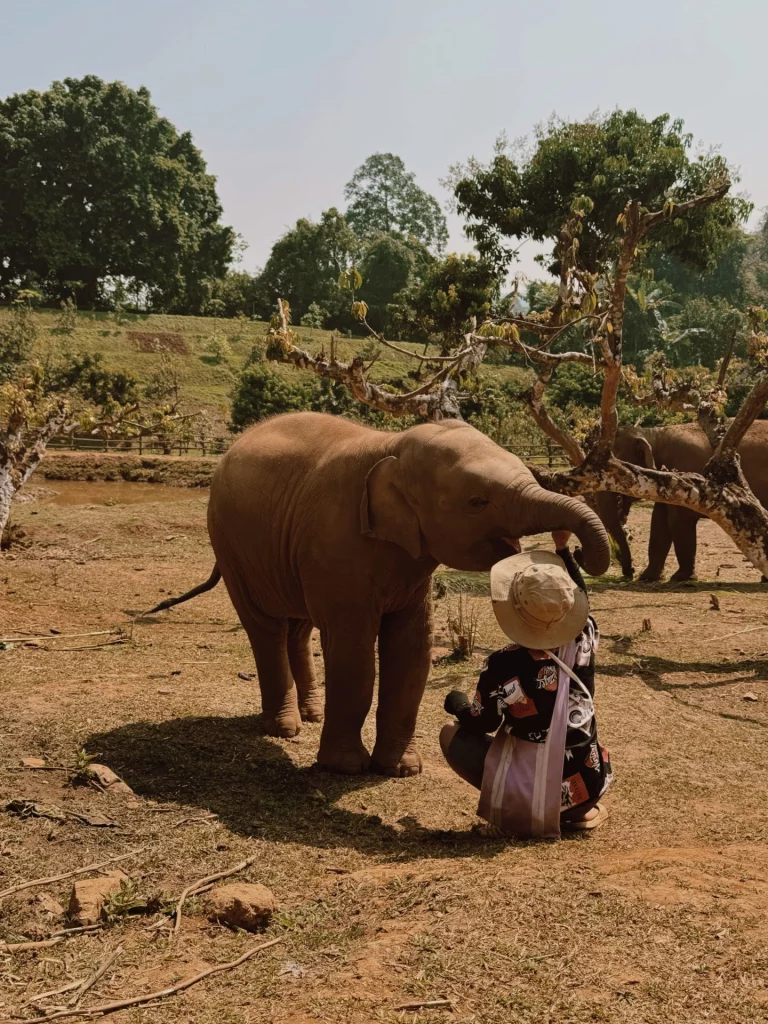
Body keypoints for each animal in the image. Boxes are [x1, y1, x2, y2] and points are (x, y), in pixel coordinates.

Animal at [152, 411, 610, 777]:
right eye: (477, 501)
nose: (571, 548)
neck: (394, 445)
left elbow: (410, 650)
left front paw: (402, 769)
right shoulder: (336, 545)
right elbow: (354, 652)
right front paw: (345, 768)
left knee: (297, 629)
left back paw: (311, 715)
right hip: (230, 545)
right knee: (264, 629)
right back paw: (284, 728)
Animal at [593, 421, 768, 582]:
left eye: (614, 473)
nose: (629, 572)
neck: (653, 434)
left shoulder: (684, 472)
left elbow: (677, 521)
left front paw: (681, 577)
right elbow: (659, 523)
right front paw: (648, 577)